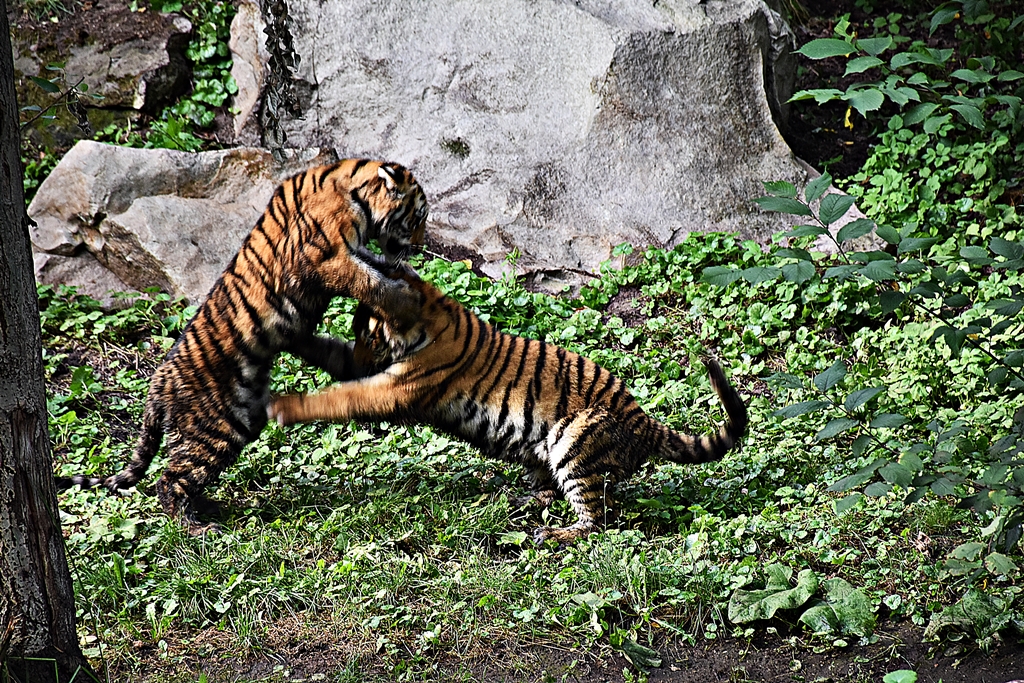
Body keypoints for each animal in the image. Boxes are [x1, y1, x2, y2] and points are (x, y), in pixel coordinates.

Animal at [56, 159, 429, 534]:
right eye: (418, 217)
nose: (419, 247)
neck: (353, 192)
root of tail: (157, 384)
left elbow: (376, 271)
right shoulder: (328, 259)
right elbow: (372, 282)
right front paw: (408, 300)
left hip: (240, 421)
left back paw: (209, 508)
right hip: (212, 430)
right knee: (169, 480)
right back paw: (196, 528)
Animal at [268, 267, 748, 544]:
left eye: (368, 334)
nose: (364, 358)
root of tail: (645, 422)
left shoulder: (394, 387)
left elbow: (339, 397)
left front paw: (281, 406)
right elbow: (329, 355)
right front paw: (285, 333)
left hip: (574, 441)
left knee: (597, 518)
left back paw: (552, 534)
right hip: (543, 450)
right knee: (551, 490)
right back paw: (517, 499)